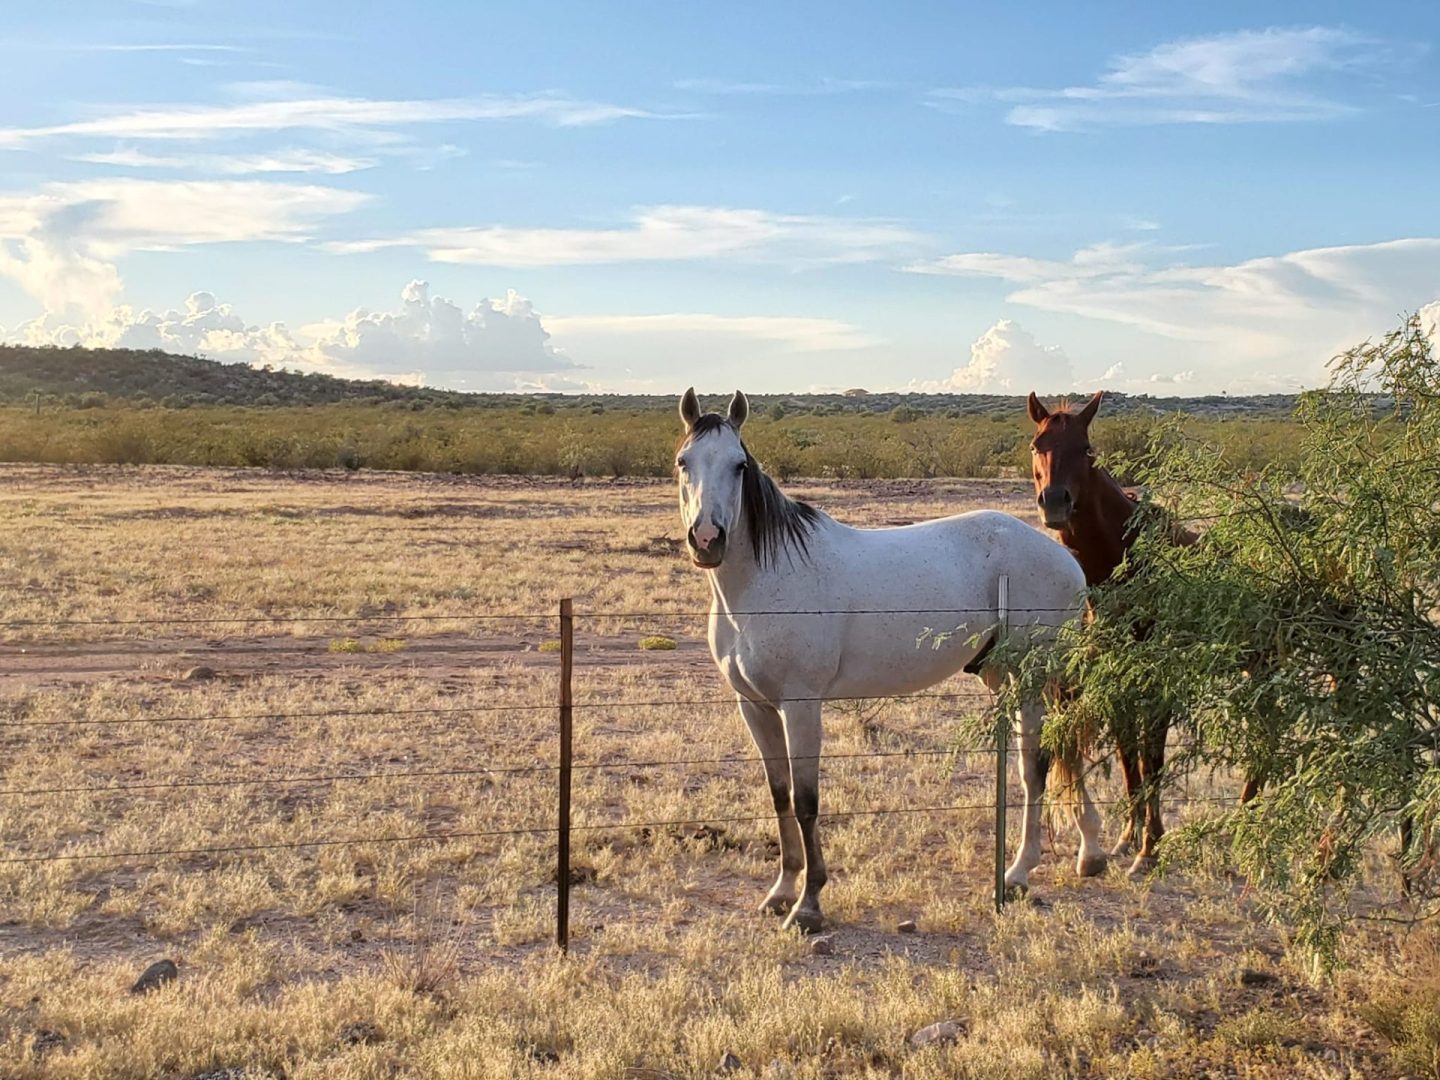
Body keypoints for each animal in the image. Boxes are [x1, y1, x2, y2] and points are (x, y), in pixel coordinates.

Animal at [673, 388, 1100, 933]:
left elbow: (806, 802)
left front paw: (809, 904)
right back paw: (1089, 852)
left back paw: (1019, 873)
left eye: (739, 465)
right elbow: (780, 795)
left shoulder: (801, 706)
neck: (763, 583)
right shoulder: (755, 706)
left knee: (1036, 762)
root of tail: (1066, 559)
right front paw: (781, 891)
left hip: (1033, 675)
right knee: (1061, 750)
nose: (708, 539)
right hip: (1007, 675)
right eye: (684, 462)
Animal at [1031, 391, 1198, 881]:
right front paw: (1128, 837)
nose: (1055, 502)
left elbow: (1151, 758)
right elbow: (1129, 757)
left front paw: (1149, 847)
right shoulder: (1116, 681)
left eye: (1086, 449)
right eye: (1036, 445)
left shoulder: (1157, 684)